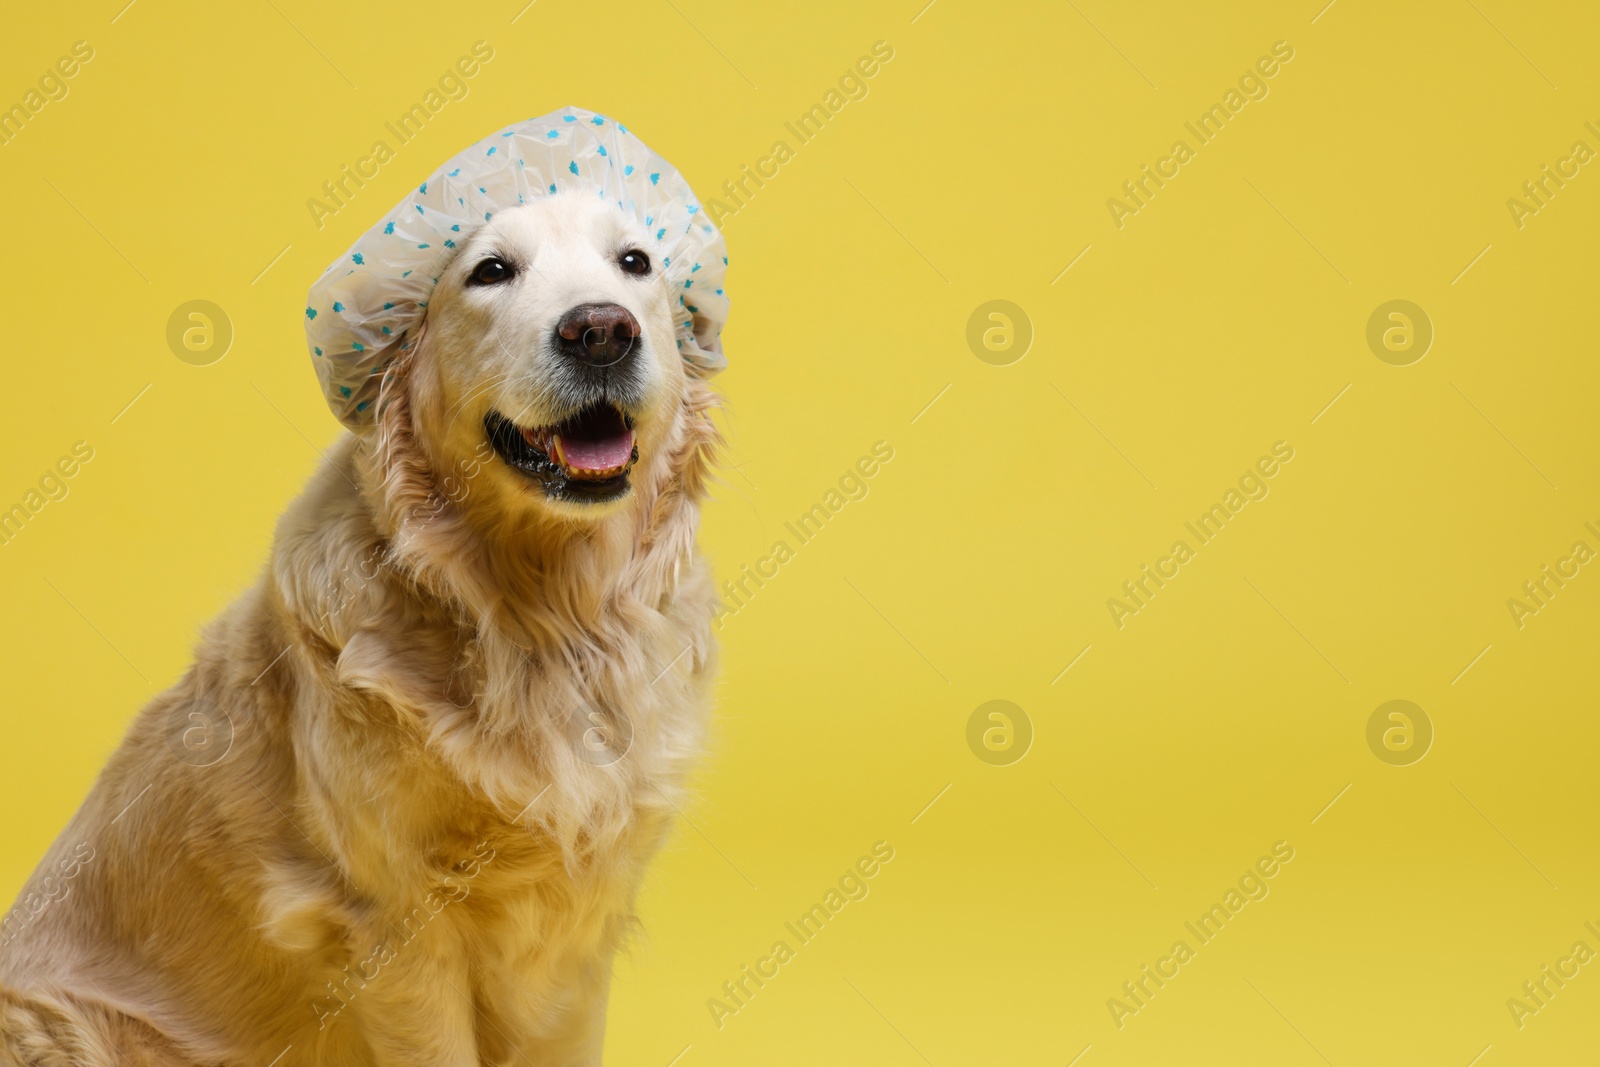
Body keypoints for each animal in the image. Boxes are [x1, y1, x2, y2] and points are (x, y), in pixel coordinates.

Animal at [0, 191, 723, 1067]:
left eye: (635, 262)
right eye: (491, 270)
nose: (602, 330)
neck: (542, 617)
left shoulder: (579, 926)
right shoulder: (397, 926)